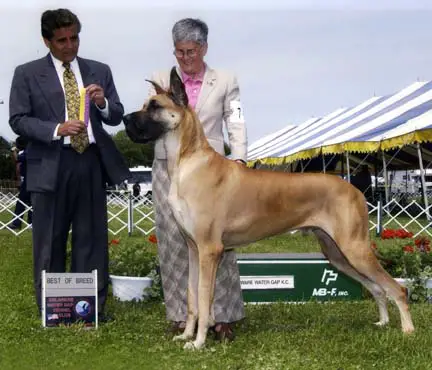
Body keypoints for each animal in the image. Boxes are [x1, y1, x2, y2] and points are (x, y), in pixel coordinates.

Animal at [122, 67, 416, 350]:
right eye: (146, 103)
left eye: (154, 106)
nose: (124, 118)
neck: (187, 161)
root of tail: (355, 190)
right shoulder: (193, 249)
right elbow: (193, 297)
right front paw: (186, 335)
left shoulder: (209, 250)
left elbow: (205, 301)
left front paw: (199, 342)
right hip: (337, 253)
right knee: (377, 288)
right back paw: (382, 322)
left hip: (354, 248)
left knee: (396, 289)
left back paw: (407, 330)